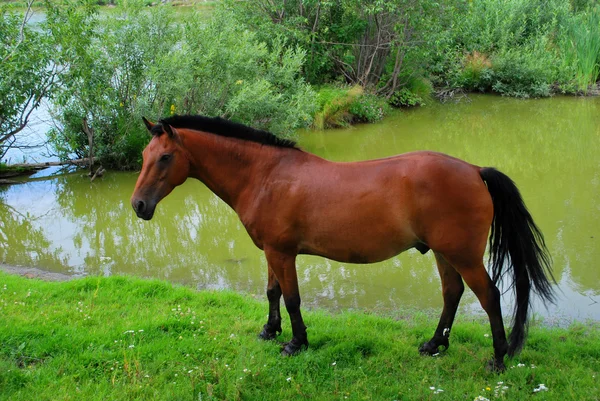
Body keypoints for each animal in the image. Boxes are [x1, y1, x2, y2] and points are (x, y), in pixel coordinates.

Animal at [130, 114, 552, 370]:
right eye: (144, 154)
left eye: (165, 157)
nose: (138, 205)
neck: (265, 174)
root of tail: (475, 170)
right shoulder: (271, 252)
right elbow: (272, 293)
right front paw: (269, 331)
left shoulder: (282, 253)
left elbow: (292, 298)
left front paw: (296, 343)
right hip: (446, 254)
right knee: (452, 294)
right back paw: (434, 345)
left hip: (462, 254)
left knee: (489, 296)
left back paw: (498, 359)